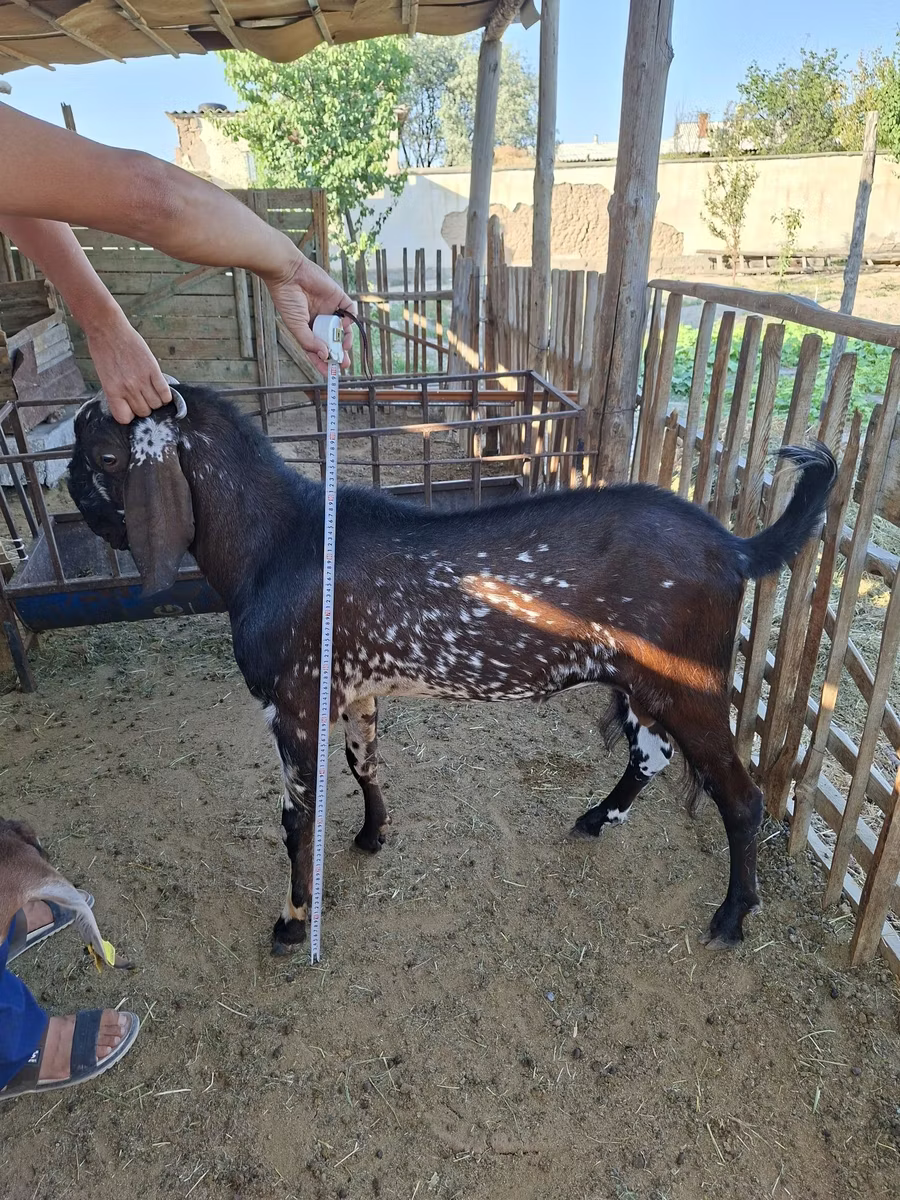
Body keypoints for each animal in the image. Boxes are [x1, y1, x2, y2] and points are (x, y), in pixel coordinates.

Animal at [67, 386, 837, 956]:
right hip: (641, 683)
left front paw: (292, 922)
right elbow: (363, 762)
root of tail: (736, 549)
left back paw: (731, 919)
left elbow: (296, 815)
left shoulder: (291, 699)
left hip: (691, 683)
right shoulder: (353, 686)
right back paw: (595, 819)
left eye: (104, 453)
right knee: (650, 754)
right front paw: (373, 835)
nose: (73, 489)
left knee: (741, 797)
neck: (276, 541)